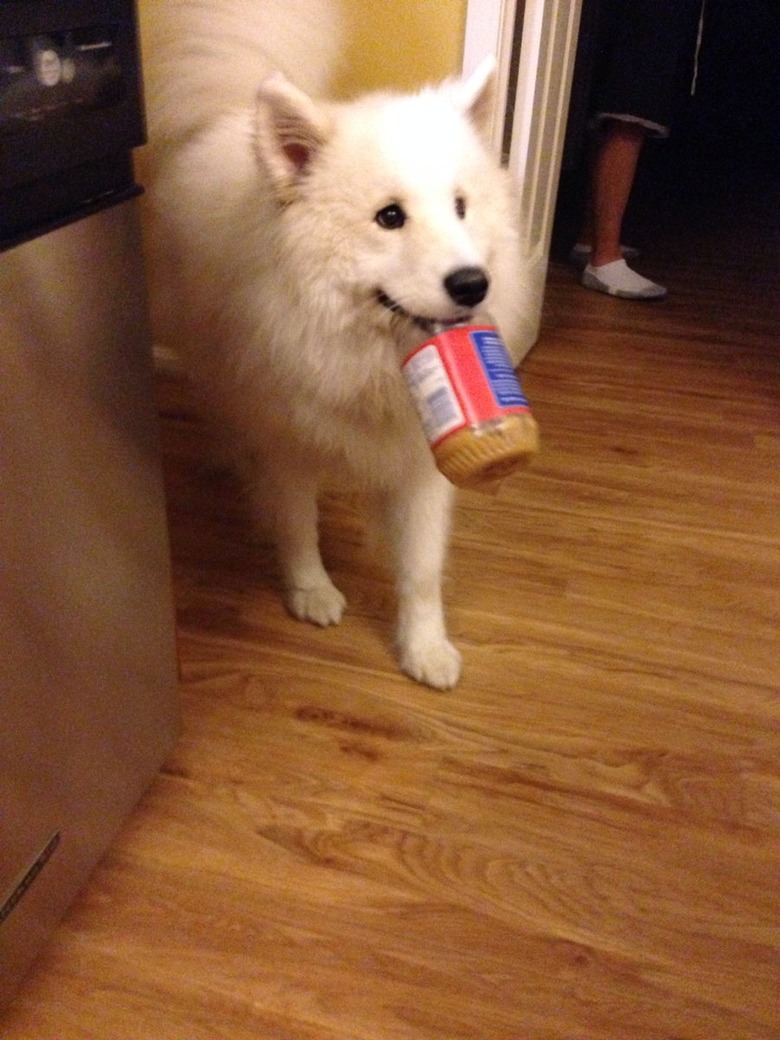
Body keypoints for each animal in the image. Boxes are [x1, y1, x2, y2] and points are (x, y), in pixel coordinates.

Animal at [142, 0, 532, 690]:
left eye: (461, 207)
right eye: (390, 217)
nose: (471, 284)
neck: (370, 359)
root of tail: (228, 115)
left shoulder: (421, 462)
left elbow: (421, 570)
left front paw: (425, 648)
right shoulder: (287, 442)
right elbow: (298, 525)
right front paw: (311, 593)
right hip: (212, 358)